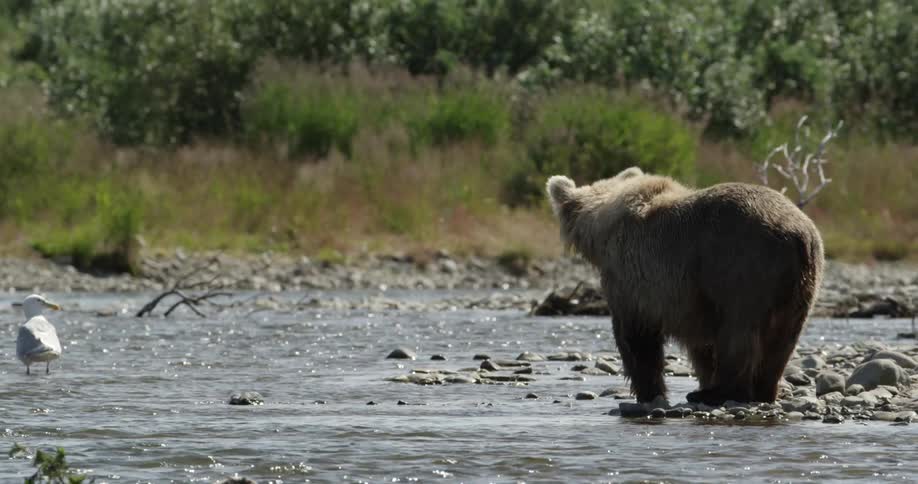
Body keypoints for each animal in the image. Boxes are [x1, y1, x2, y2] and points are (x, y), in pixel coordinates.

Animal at [546, 167, 824, 405]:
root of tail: (797, 234)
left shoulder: (636, 278)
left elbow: (636, 338)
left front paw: (649, 391)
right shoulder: (692, 300)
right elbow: (702, 346)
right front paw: (702, 377)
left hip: (742, 267)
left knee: (738, 334)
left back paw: (718, 393)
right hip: (801, 284)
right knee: (781, 342)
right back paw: (762, 390)